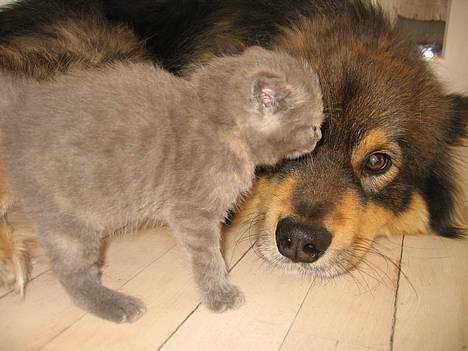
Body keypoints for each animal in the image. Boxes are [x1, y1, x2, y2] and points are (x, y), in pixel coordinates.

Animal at [0, 46, 324, 324]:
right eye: (311, 125)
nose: (319, 136)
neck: (222, 126)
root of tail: (21, 113)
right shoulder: (192, 214)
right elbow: (208, 257)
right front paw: (219, 294)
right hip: (69, 215)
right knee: (71, 273)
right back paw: (116, 304)